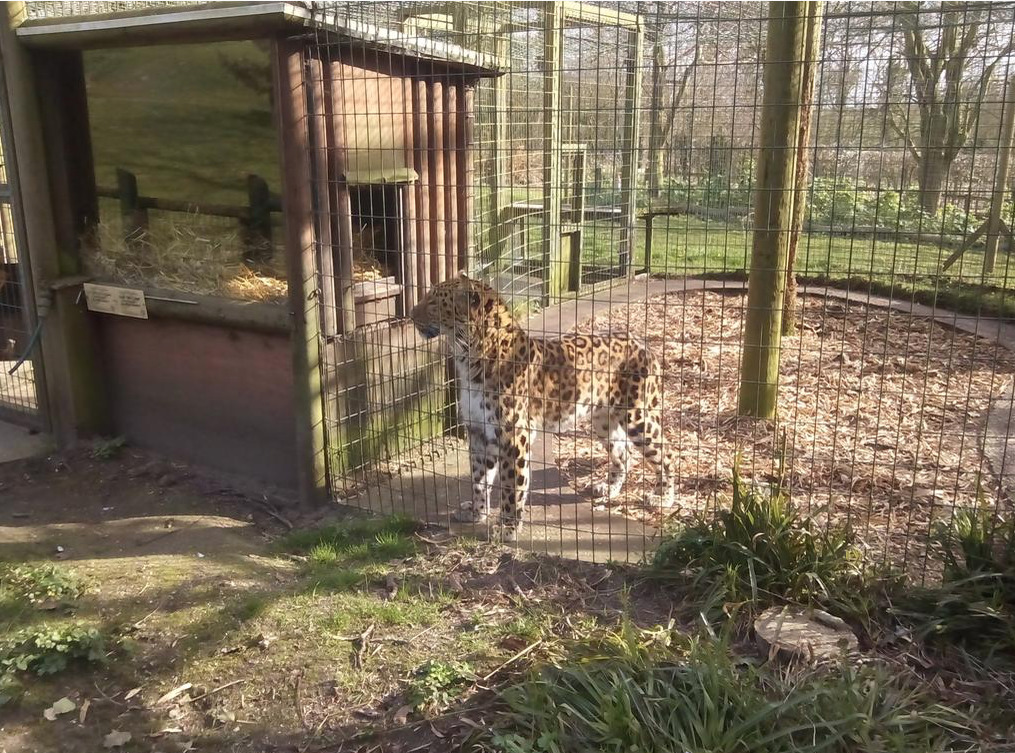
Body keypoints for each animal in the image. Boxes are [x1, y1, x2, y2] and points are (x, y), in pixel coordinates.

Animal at [408, 274, 678, 539]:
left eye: (434, 301)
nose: (410, 315)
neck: (470, 357)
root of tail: (642, 343)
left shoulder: (514, 434)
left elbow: (511, 483)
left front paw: (508, 526)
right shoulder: (478, 431)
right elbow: (478, 478)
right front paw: (476, 512)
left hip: (638, 417)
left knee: (666, 452)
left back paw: (662, 498)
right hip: (603, 421)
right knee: (624, 453)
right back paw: (608, 488)